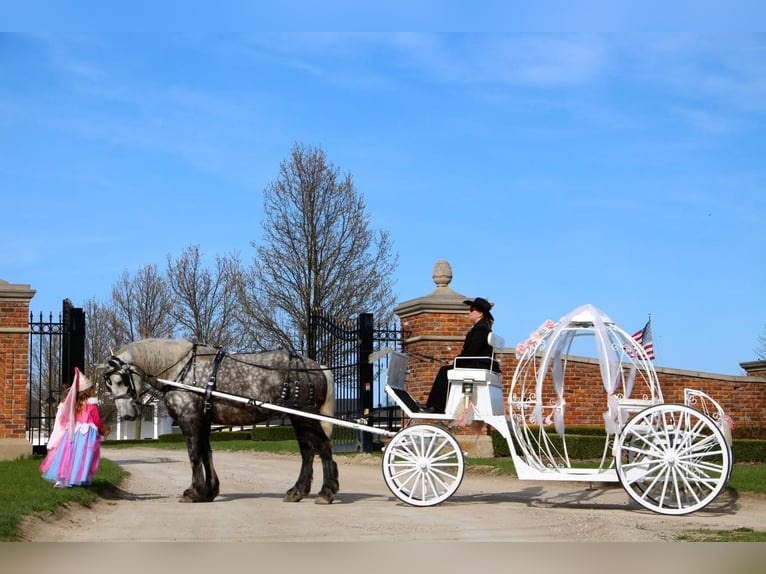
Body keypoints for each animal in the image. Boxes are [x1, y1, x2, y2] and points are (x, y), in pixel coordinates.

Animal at [103, 340, 340, 506]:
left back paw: (326, 493)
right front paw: (209, 491)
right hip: (300, 419)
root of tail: (317, 366)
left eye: (120, 380)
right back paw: (298, 491)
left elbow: (194, 454)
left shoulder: (190, 418)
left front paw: (194, 492)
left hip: (304, 416)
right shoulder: (204, 420)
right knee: (308, 451)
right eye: (108, 385)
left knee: (322, 448)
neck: (181, 369)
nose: (126, 415)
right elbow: (206, 453)